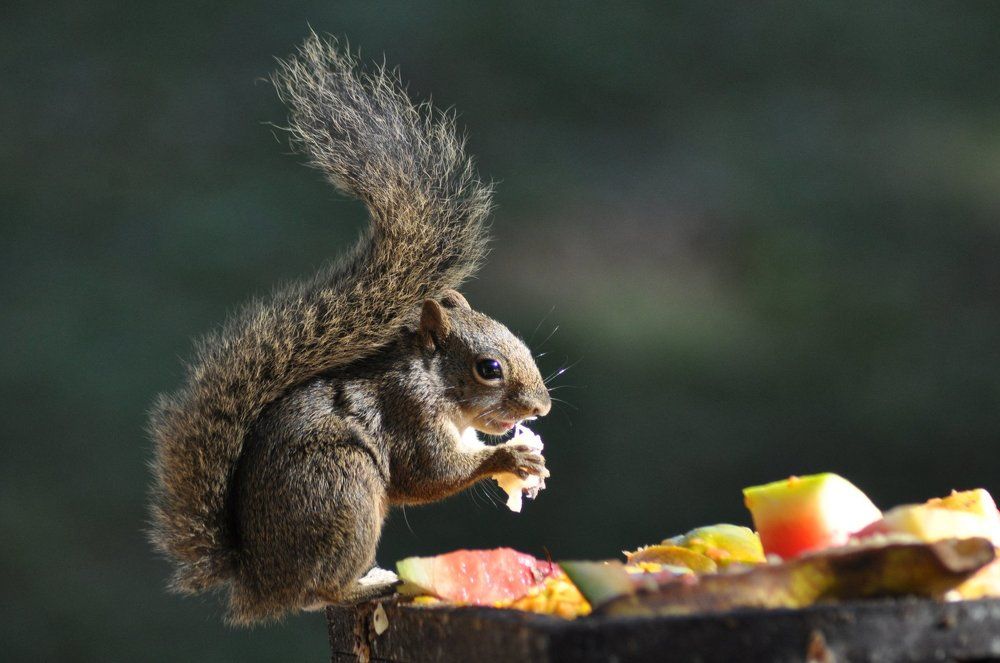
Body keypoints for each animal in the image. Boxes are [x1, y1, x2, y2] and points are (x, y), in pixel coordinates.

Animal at [148, 33, 552, 626]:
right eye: (489, 368)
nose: (541, 408)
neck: (435, 383)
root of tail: (260, 584)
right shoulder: (408, 415)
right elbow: (428, 474)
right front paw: (510, 457)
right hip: (343, 492)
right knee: (322, 590)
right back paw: (371, 585)